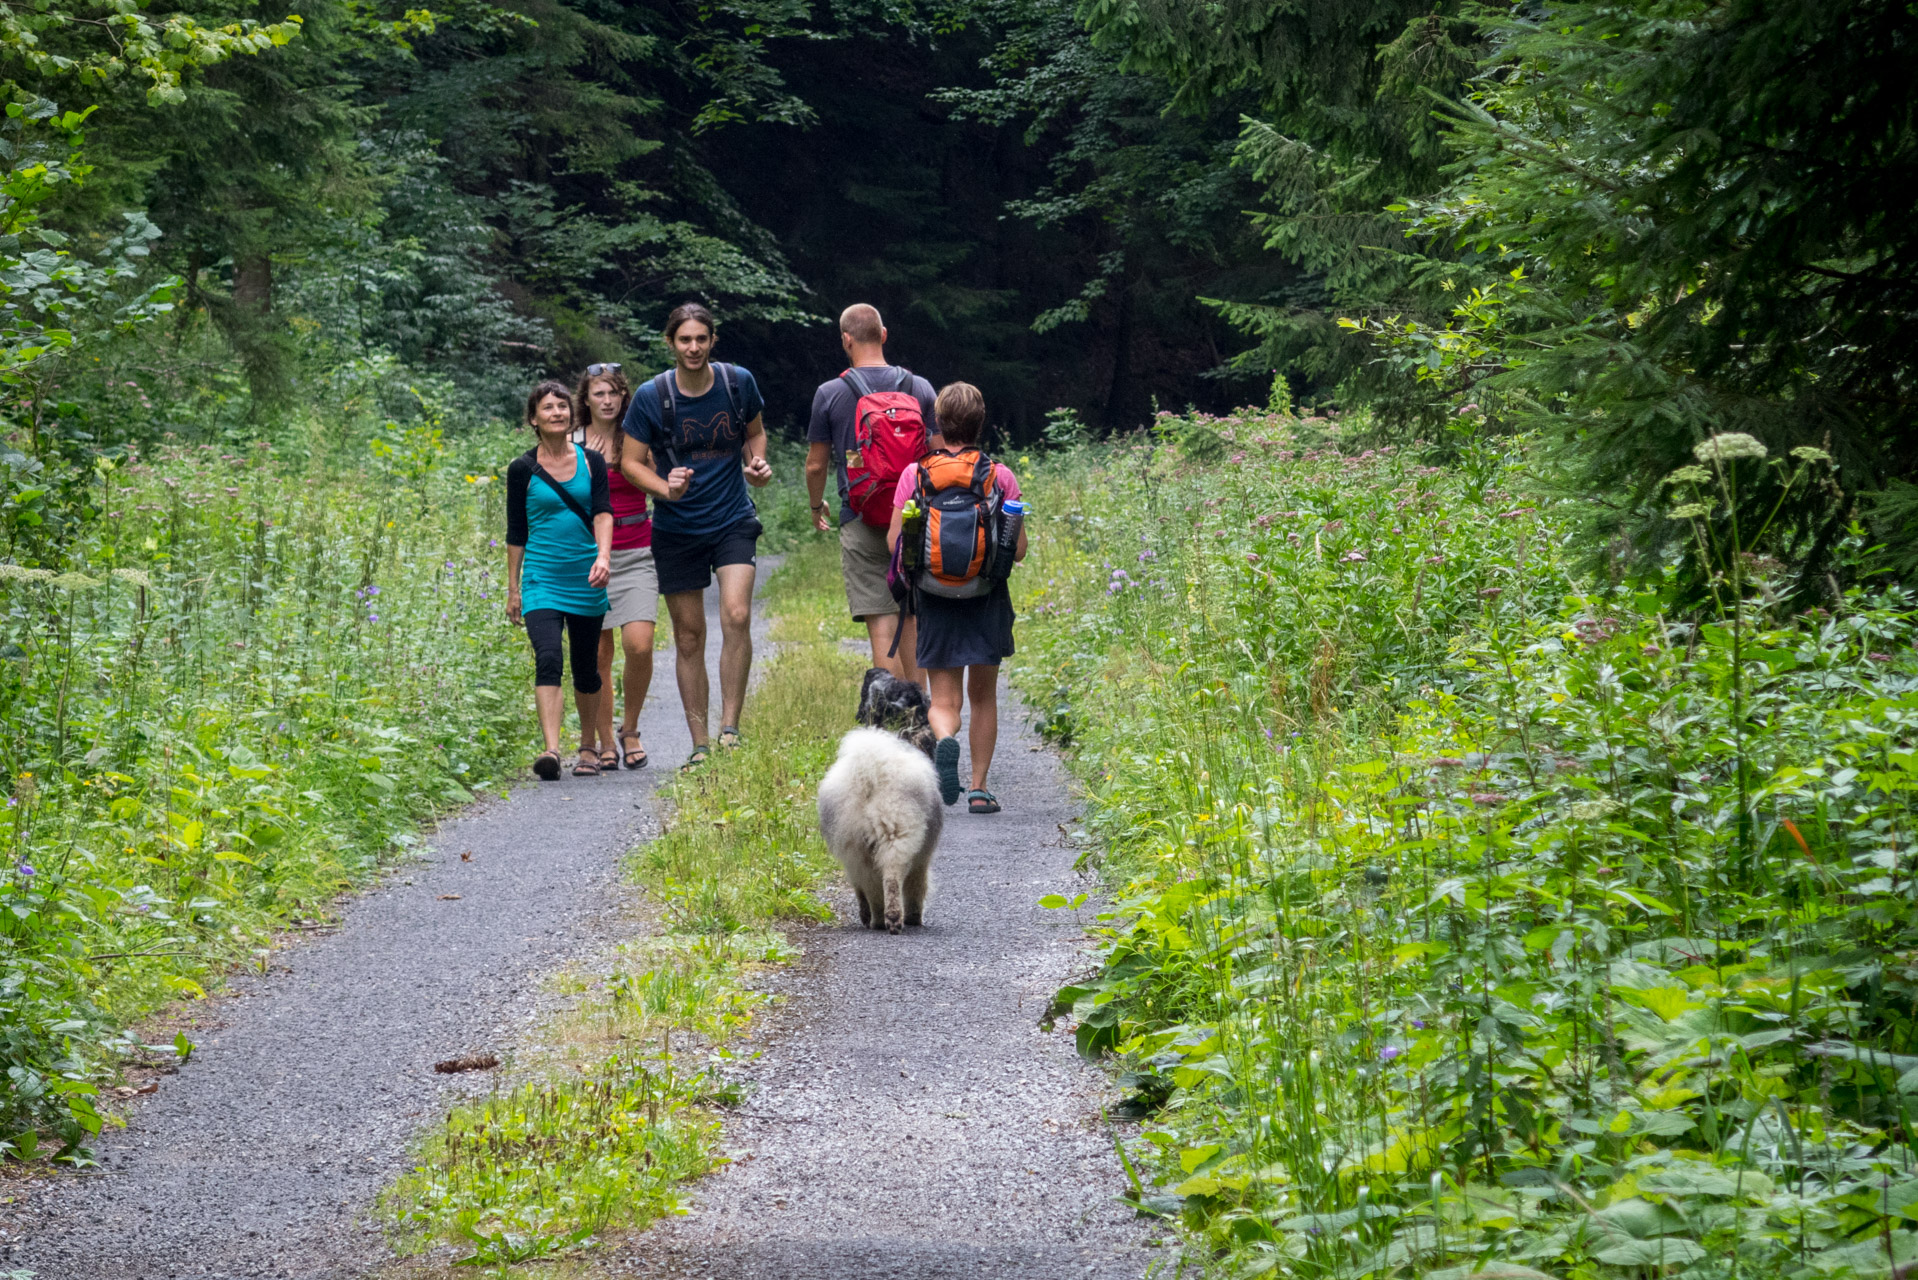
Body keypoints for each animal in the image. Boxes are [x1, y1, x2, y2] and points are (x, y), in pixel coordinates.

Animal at [817, 729, 943, 932]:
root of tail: (871, 775)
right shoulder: (921, 863)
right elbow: (917, 890)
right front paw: (914, 917)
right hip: (896, 834)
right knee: (890, 880)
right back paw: (889, 919)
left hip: (858, 847)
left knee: (874, 886)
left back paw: (882, 920)